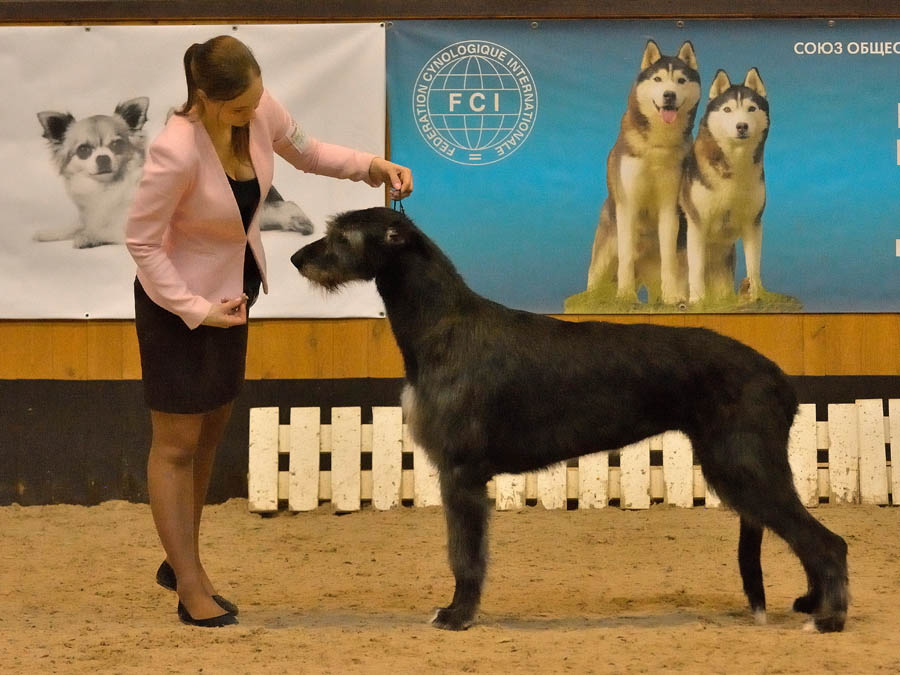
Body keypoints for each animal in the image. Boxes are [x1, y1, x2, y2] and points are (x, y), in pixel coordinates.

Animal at [292, 207, 848, 632]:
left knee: (828, 542)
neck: (441, 323)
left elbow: (464, 555)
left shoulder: (461, 473)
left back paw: (830, 618)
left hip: (743, 464)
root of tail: (779, 377)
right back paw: (813, 603)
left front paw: (457, 615)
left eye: (341, 235)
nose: (297, 258)